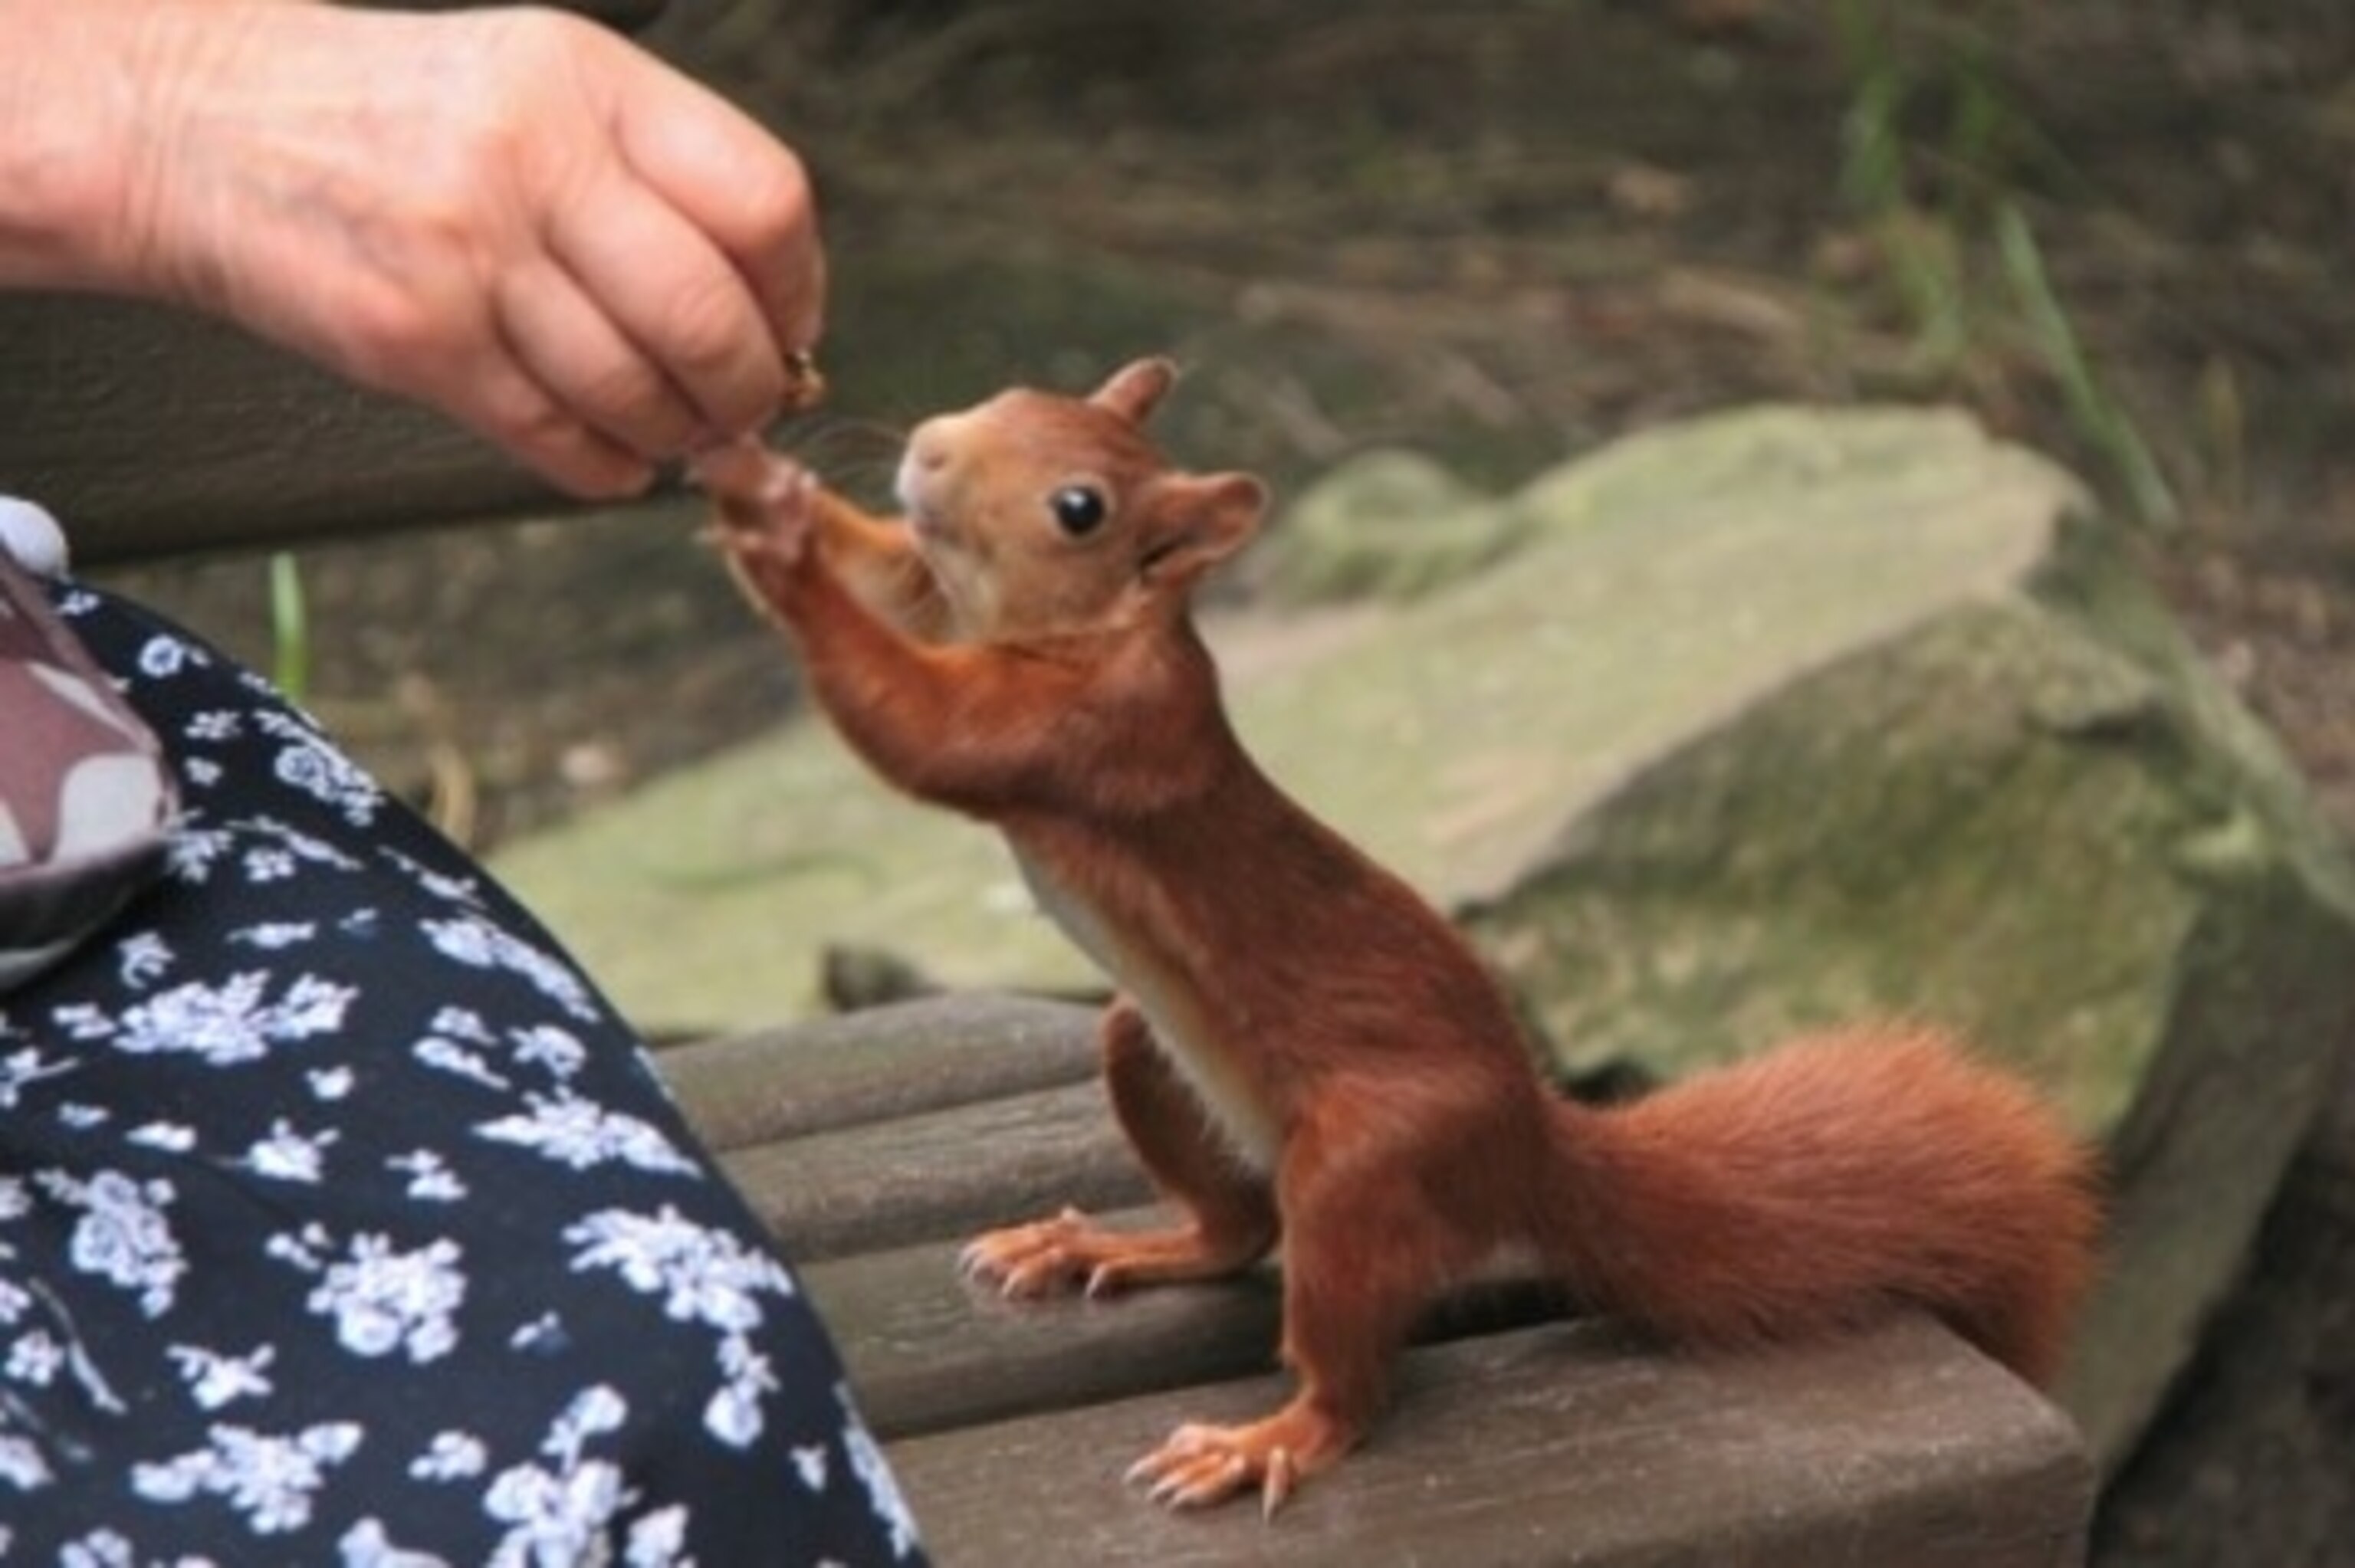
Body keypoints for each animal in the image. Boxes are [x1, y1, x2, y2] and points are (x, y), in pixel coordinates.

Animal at [695, 359, 2101, 1516]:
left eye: (1079, 508)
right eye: (1007, 396)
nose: (930, 449)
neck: (1105, 629)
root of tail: (1530, 1148)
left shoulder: (1089, 734)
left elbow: (917, 725)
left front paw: (779, 540)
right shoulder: (951, 608)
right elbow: (893, 577)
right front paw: (756, 472)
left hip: (1365, 1169)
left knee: (1346, 1369)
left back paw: (1267, 1441)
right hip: (1151, 1053)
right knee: (1231, 1231)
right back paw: (1105, 1241)